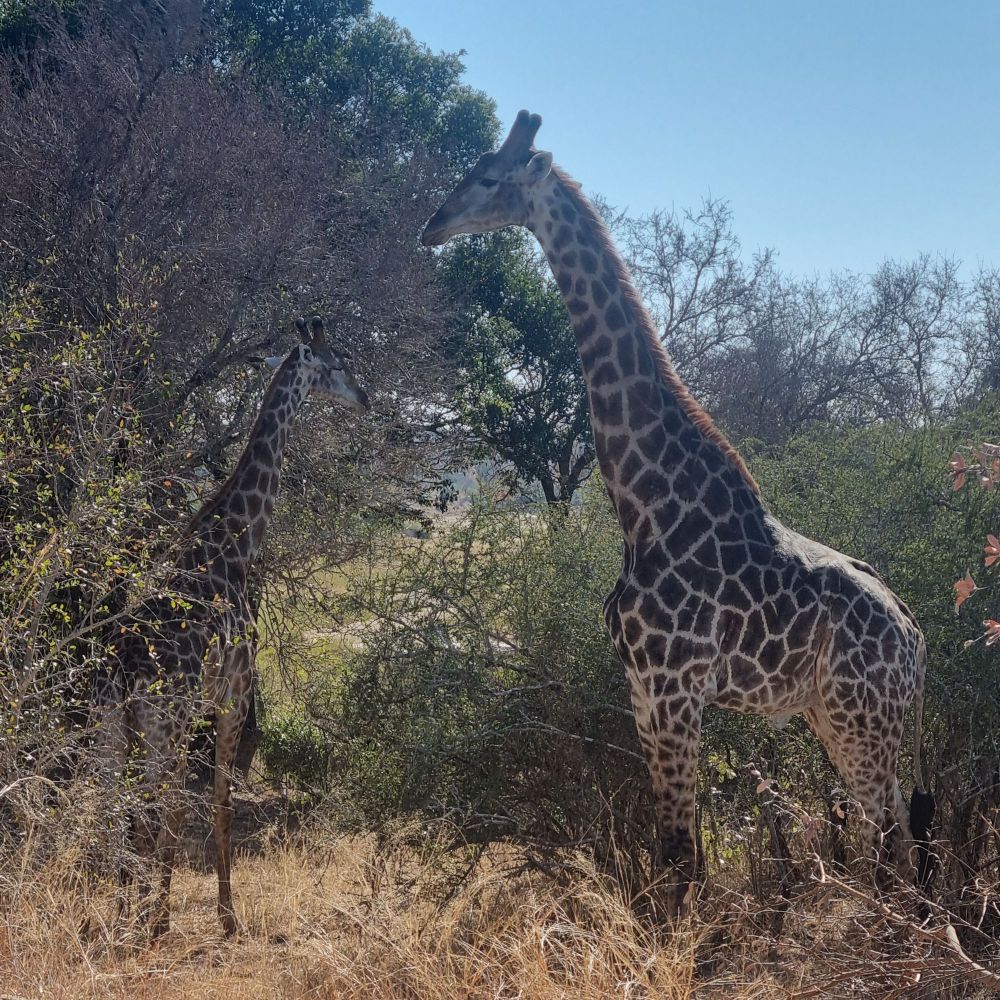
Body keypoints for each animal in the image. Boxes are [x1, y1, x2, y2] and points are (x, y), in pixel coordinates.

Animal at [96, 317, 368, 938]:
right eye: (338, 363)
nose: (365, 399)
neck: (236, 546)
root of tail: (123, 672)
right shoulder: (233, 694)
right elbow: (217, 803)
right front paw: (224, 915)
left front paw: (176, 909)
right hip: (162, 725)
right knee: (153, 807)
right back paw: (147, 920)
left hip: (116, 730)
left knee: (120, 810)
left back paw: (119, 915)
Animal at [422, 112, 934, 915]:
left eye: (489, 177)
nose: (430, 226)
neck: (645, 502)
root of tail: (917, 641)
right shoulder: (642, 689)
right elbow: (676, 852)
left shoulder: (675, 687)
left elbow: (679, 856)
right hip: (838, 716)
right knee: (891, 832)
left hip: (863, 718)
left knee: (890, 834)